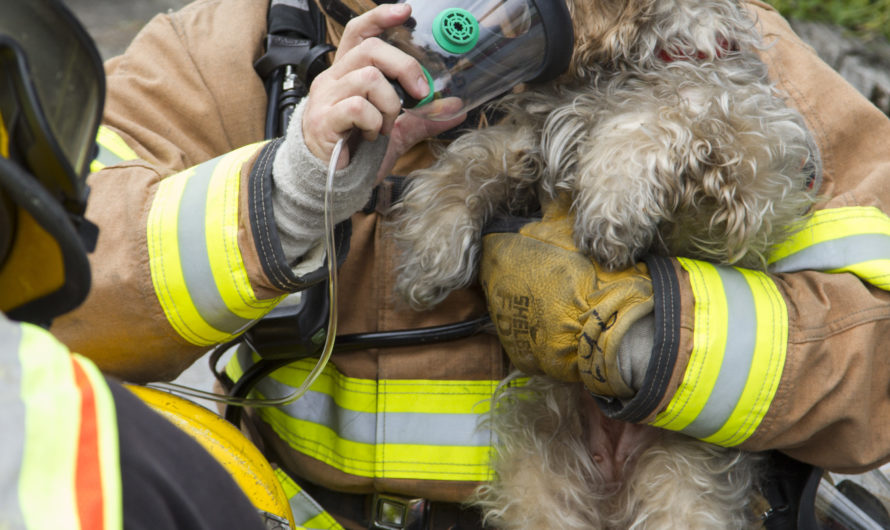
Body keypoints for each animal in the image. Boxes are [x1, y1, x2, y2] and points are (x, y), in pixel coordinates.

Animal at [388, 0, 820, 524]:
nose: (412, 28)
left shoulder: (748, 185)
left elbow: (673, 106)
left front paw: (614, 201)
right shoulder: (533, 134)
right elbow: (474, 157)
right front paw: (431, 246)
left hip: (684, 485)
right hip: (538, 474)